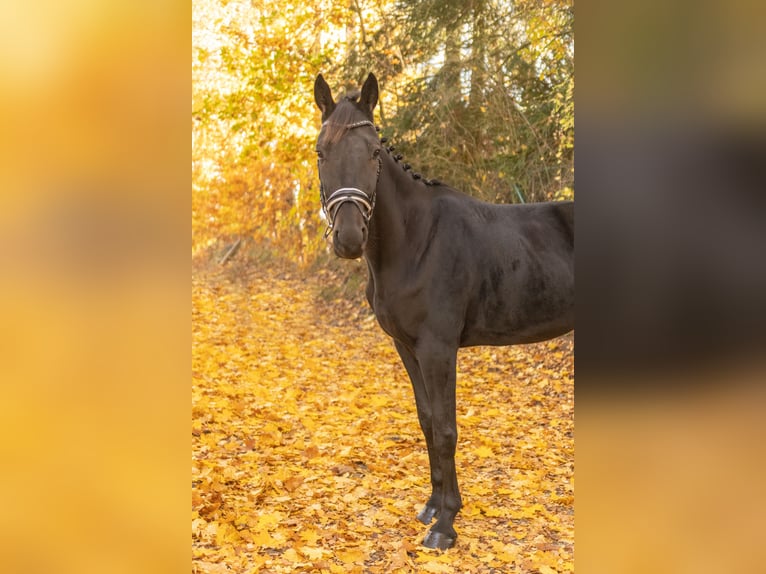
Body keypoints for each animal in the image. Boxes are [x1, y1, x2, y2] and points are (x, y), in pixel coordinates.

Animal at [314, 73, 576, 552]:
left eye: (374, 152)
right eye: (321, 152)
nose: (349, 238)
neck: (417, 239)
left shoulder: (439, 349)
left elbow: (446, 428)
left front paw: (446, 524)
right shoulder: (407, 347)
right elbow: (427, 422)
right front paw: (433, 507)